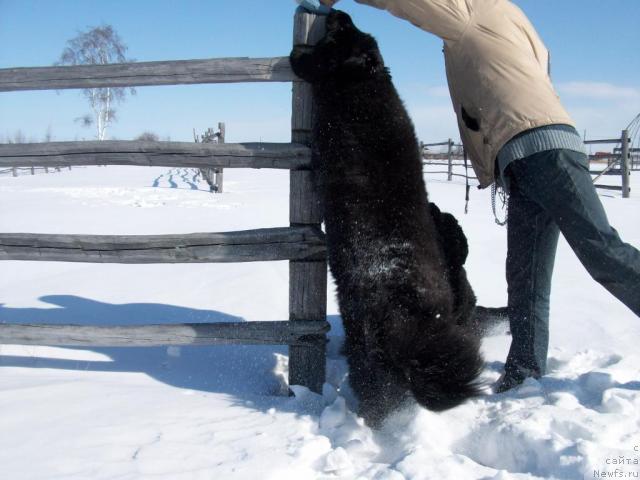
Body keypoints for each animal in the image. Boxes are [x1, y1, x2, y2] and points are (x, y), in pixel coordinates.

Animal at [288, 9, 480, 426]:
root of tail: (412, 320)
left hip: (367, 353)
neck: (364, 86)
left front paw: (297, 54)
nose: (340, 12)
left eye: (342, 36)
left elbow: (311, 67)